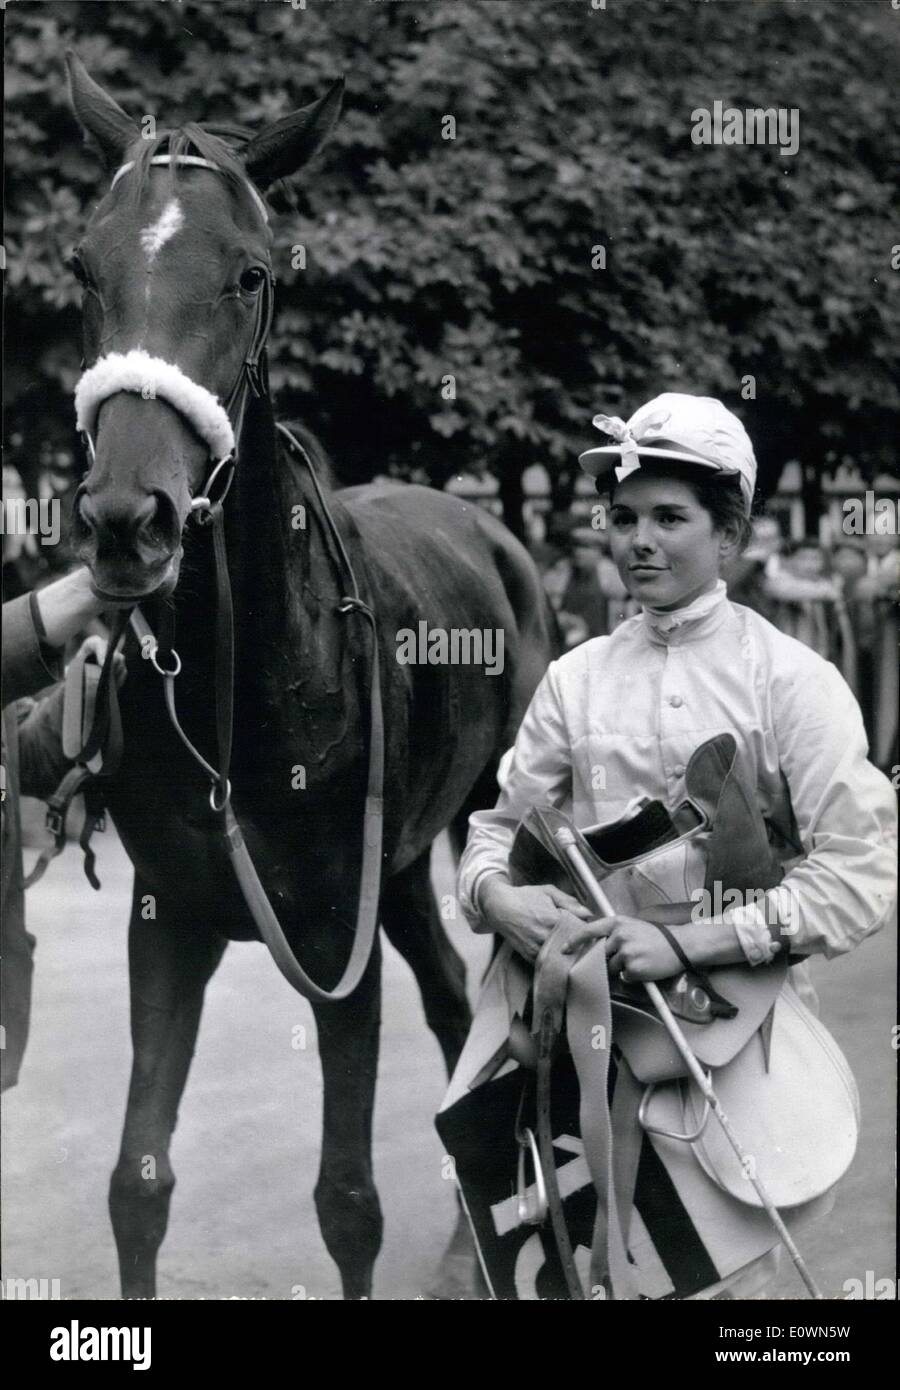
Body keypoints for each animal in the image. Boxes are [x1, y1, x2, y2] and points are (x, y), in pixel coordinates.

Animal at [61, 48, 556, 1295]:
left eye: (249, 273)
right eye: (83, 264)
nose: (128, 520)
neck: (240, 678)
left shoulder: (338, 926)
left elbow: (347, 1202)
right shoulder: (169, 917)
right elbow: (138, 1183)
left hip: (485, 821)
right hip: (409, 859)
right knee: (452, 1005)